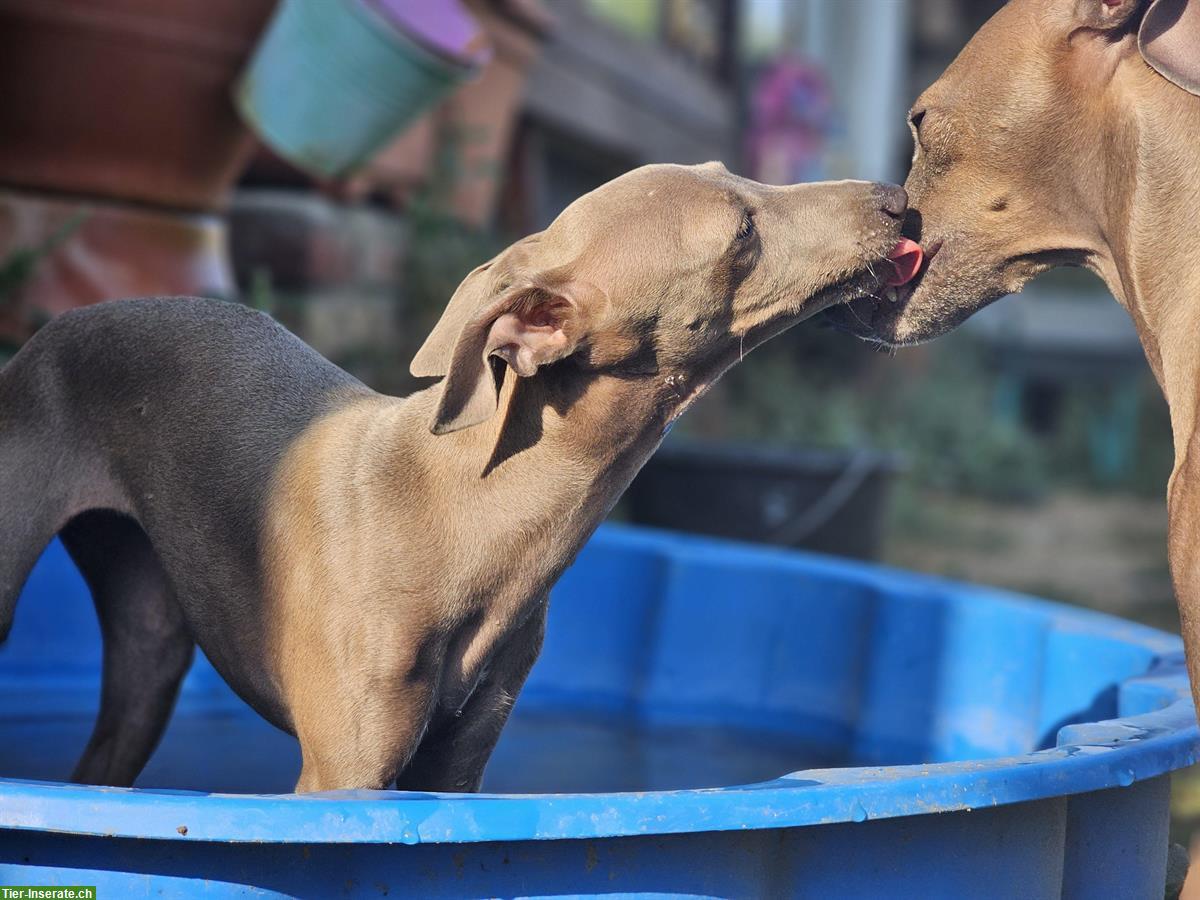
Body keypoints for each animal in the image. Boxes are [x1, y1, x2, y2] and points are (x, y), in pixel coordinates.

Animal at [0, 165, 907, 792]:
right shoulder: (344, 778)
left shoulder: (457, 770)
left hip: (148, 648)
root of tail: (52, 330)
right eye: (741, 231)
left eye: (735, 174)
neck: (471, 510)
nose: (898, 199)